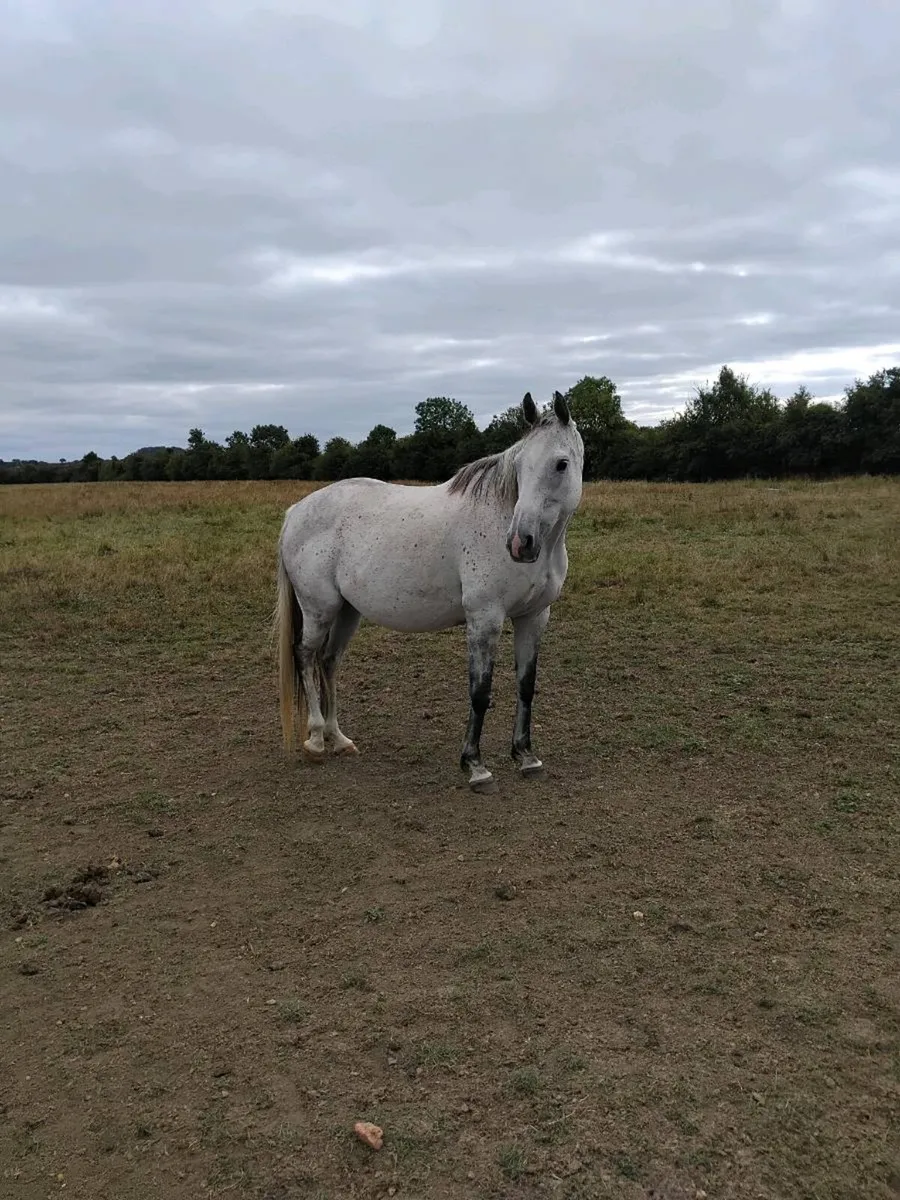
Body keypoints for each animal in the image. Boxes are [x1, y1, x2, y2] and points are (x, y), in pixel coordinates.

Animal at [273, 389, 584, 793]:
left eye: (561, 464)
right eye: (519, 467)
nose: (520, 543)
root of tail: (296, 511)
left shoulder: (534, 617)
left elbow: (526, 686)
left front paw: (526, 756)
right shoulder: (484, 618)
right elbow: (480, 693)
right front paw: (475, 766)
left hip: (347, 611)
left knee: (328, 661)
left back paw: (338, 738)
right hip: (319, 609)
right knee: (306, 656)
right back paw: (314, 739)